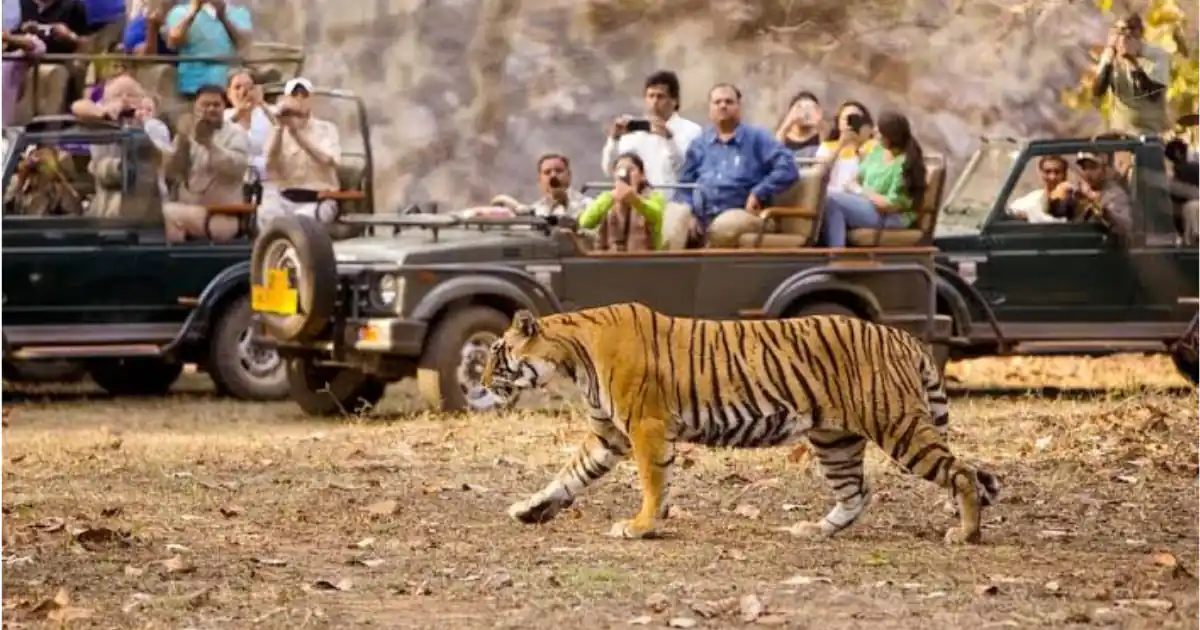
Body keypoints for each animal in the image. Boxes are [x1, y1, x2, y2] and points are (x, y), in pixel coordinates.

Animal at [481, 302, 1000, 545]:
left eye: (498, 354)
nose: (482, 383)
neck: (570, 361)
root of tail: (902, 336)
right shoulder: (608, 436)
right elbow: (568, 475)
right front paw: (529, 509)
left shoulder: (645, 426)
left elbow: (652, 482)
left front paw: (641, 526)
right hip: (836, 439)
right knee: (857, 492)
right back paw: (815, 530)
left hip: (897, 425)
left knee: (962, 473)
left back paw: (966, 534)